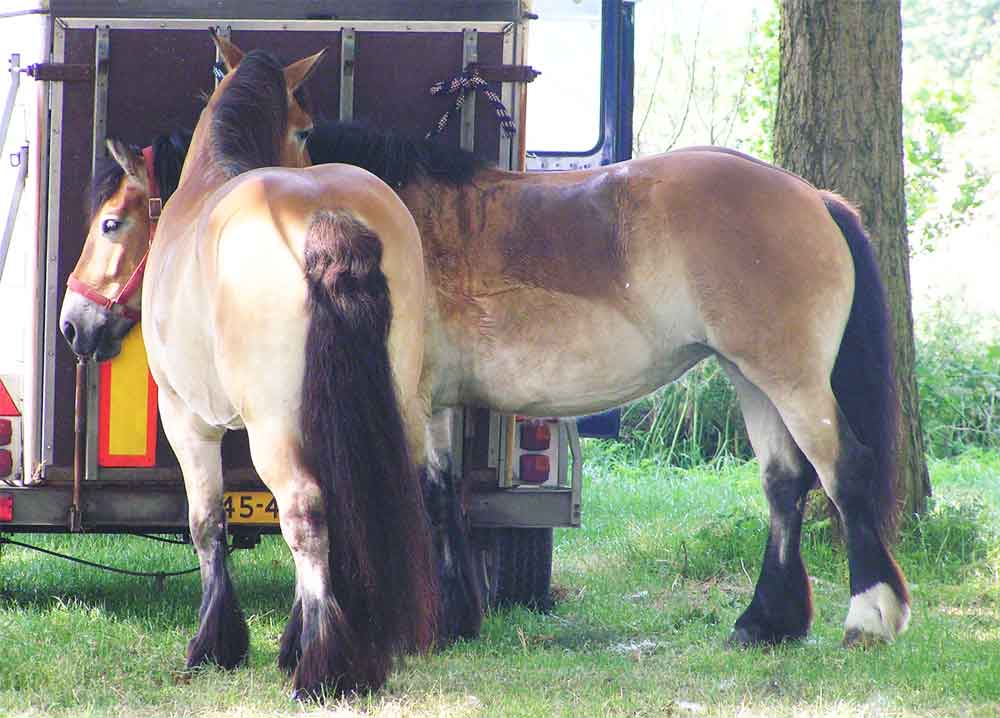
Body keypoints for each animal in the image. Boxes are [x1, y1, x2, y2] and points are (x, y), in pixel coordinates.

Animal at [59, 36, 438, 700]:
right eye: (306, 125)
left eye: (110, 223)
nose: (75, 325)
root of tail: (326, 217)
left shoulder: (186, 421)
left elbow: (207, 522)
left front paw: (215, 644)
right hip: (393, 406)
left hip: (272, 429)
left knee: (305, 514)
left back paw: (323, 668)